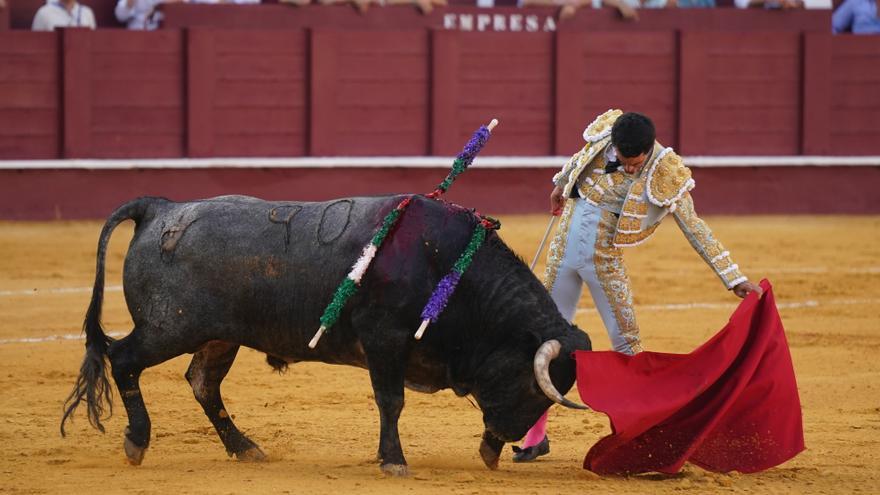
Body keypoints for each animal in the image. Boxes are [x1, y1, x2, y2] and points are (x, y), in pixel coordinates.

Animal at [63, 195, 592, 476]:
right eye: (532, 386)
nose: (506, 440)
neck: (452, 271)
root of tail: (162, 209)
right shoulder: (384, 338)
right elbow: (391, 400)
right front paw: (393, 461)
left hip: (219, 336)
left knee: (203, 384)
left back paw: (244, 447)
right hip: (169, 327)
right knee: (123, 359)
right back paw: (137, 441)